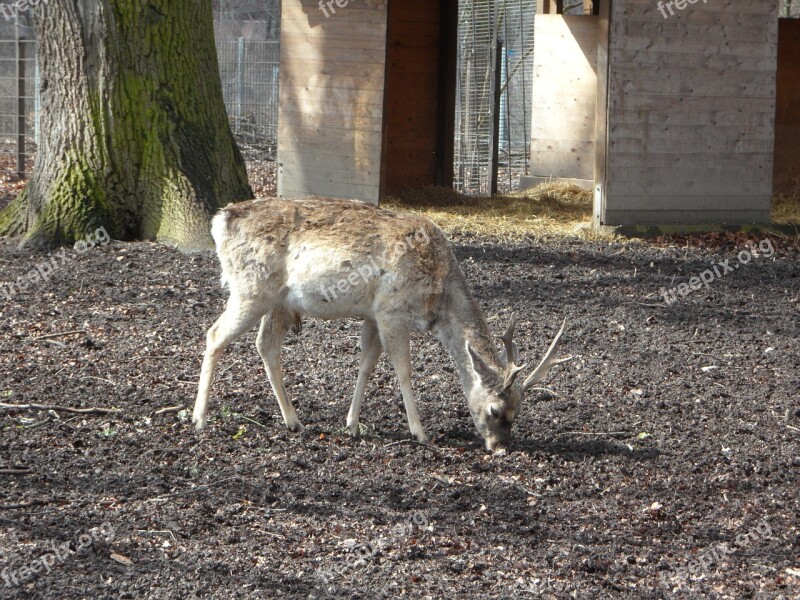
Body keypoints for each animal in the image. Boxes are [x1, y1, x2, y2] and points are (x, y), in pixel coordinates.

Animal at [191, 197, 572, 454]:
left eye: (518, 411)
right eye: (495, 409)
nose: (500, 447)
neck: (437, 292)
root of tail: (220, 220)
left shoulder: (372, 314)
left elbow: (367, 364)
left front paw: (352, 425)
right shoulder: (391, 309)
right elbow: (403, 369)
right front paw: (419, 431)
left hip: (280, 302)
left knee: (265, 344)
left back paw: (294, 420)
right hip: (251, 288)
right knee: (214, 334)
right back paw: (199, 418)